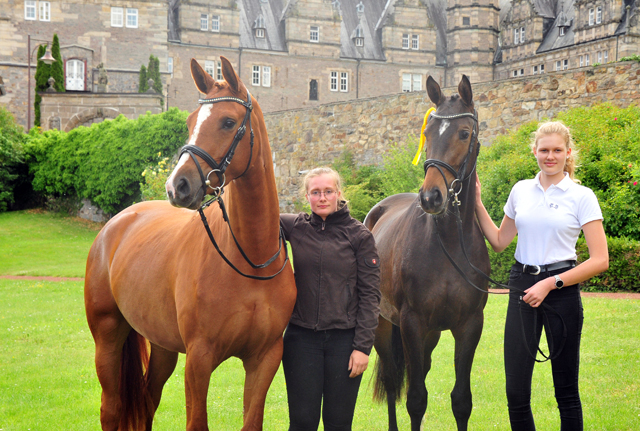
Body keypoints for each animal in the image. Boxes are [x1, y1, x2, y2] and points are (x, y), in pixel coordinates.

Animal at [84, 57, 296, 431]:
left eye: (228, 122)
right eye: (190, 122)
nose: (177, 186)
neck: (250, 260)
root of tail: (115, 225)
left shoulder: (265, 358)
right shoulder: (199, 358)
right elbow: (197, 422)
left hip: (162, 346)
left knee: (147, 402)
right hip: (107, 337)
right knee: (111, 409)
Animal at [364, 76, 490, 430]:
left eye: (464, 133)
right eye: (428, 133)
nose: (431, 197)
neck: (448, 245)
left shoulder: (469, 325)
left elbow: (461, 401)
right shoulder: (411, 323)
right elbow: (416, 399)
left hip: (431, 335)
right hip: (382, 325)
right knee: (392, 378)